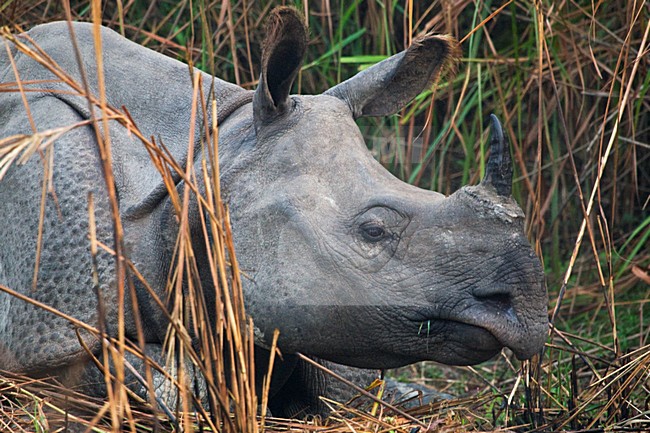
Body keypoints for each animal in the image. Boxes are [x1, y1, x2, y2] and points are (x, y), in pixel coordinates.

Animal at [0, 7, 548, 417]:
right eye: (373, 232)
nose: (525, 308)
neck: (211, 148)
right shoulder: (45, 325)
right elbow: (151, 378)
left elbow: (336, 371)